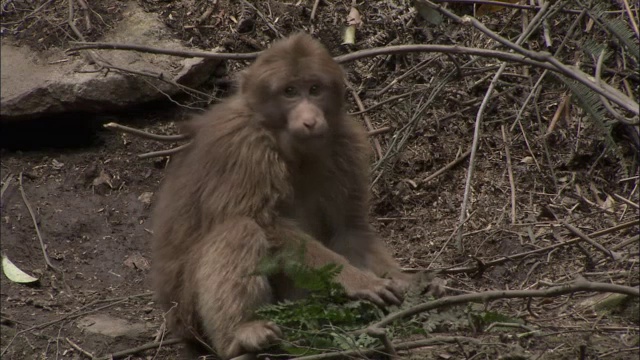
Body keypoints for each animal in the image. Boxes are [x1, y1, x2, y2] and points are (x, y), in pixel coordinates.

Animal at [150, 32, 410, 358]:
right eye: (289, 92)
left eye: (314, 90)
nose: (310, 118)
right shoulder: (245, 148)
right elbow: (266, 223)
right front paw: (358, 280)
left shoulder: (347, 145)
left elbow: (349, 229)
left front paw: (412, 282)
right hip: (188, 314)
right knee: (240, 229)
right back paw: (240, 335)